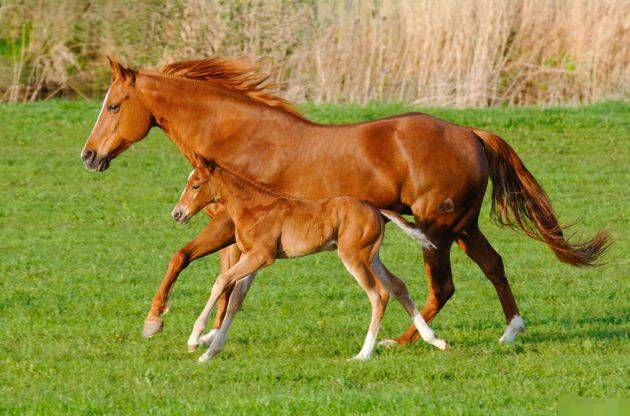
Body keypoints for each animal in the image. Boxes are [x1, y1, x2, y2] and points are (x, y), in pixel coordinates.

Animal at [173, 154, 450, 362]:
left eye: (195, 185)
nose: (177, 213)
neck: (253, 207)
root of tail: (375, 209)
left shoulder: (261, 256)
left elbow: (220, 281)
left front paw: (194, 340)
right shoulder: (252, 260)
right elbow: (235, 302)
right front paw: (210, 353)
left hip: (353, 256)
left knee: (379, 295)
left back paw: (363, 354)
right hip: (372, 257)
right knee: (397, 286)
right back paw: (435, 340)